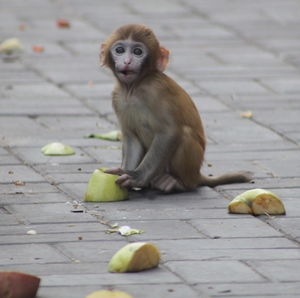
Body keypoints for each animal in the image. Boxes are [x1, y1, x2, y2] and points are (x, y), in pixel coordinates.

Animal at [99, 23, 252, 193]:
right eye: (119, 50)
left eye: (137, 52)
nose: (127, 61)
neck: (134, 88)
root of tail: (196, 174)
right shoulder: (117, 97)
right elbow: (131, 136)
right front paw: (123, 175)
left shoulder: (155, 91)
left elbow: (169, 132)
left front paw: (136, 177)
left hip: (190, 169)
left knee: (184, 134)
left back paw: (177, 183)